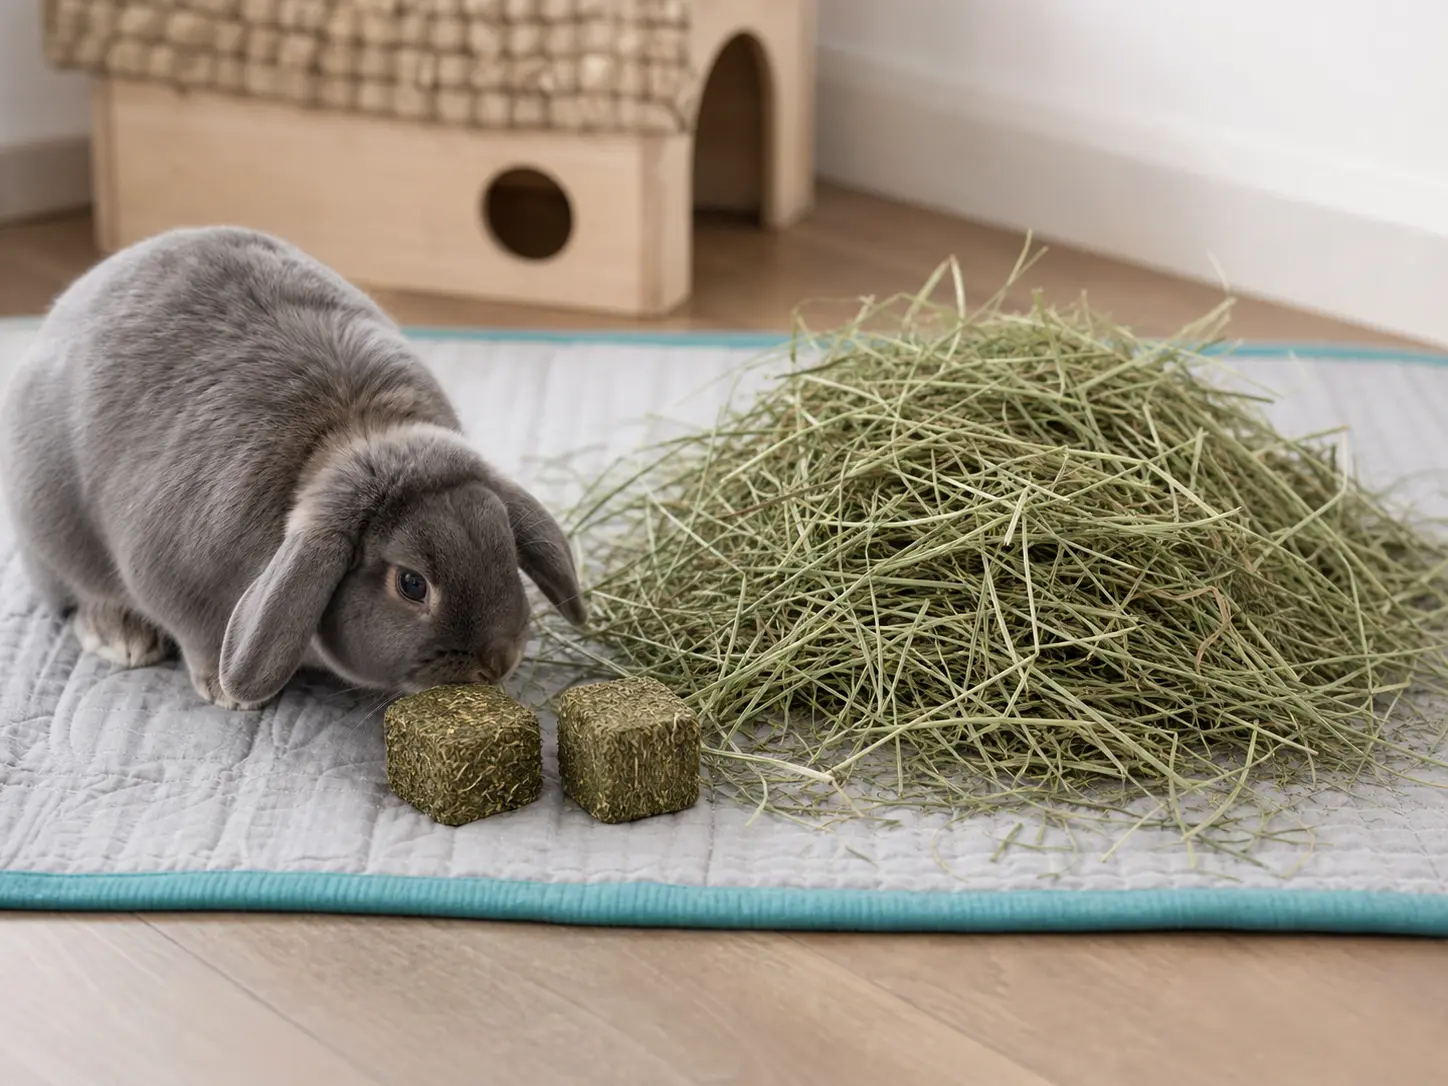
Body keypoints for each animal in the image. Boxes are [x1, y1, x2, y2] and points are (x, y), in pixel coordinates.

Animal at [0, 225, 586, 710]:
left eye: (505, 546)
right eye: (411, 584)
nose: (499, 661)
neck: (352, 433)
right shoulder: (170, 578)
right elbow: (195, 633)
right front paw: (226, 693)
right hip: (53, 532)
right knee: (79, 597)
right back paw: (122, 638)